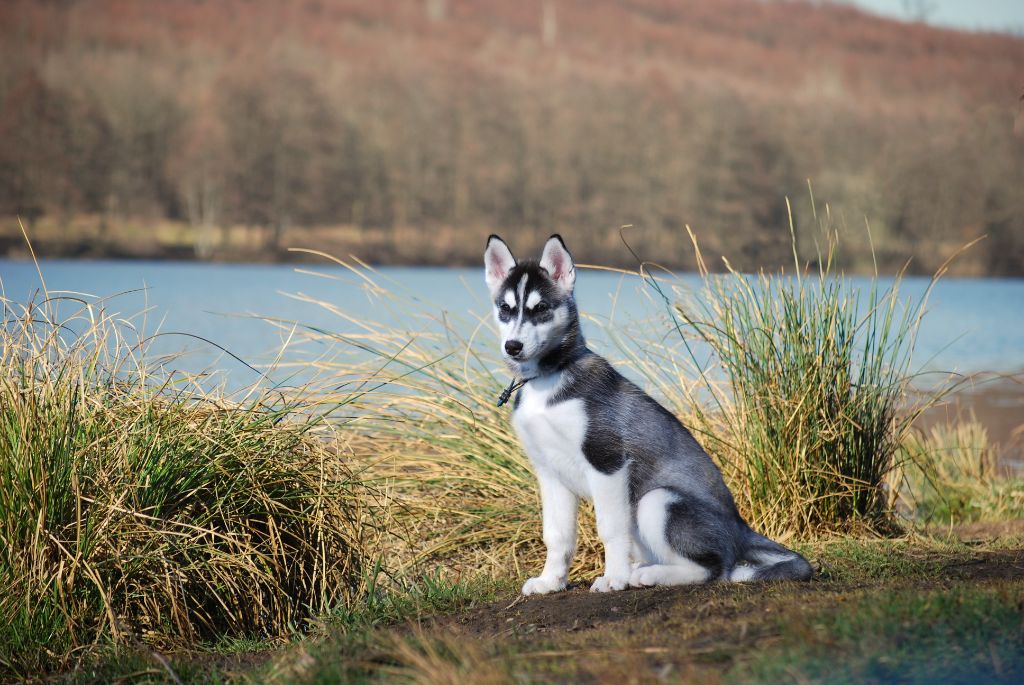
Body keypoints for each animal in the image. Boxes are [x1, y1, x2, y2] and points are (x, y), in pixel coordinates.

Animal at [483, 235, 811, 593]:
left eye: (541, 309)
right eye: (505, 309)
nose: (512, 346)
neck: (548, 379)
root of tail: (742, 529)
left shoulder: (607, 461)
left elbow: (610, 528)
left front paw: (613, 578)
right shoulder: (550, 472)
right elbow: (557, 536)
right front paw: (550, 582)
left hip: (657, 500)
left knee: (715, 568)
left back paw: (649, 575)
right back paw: (643, 569)